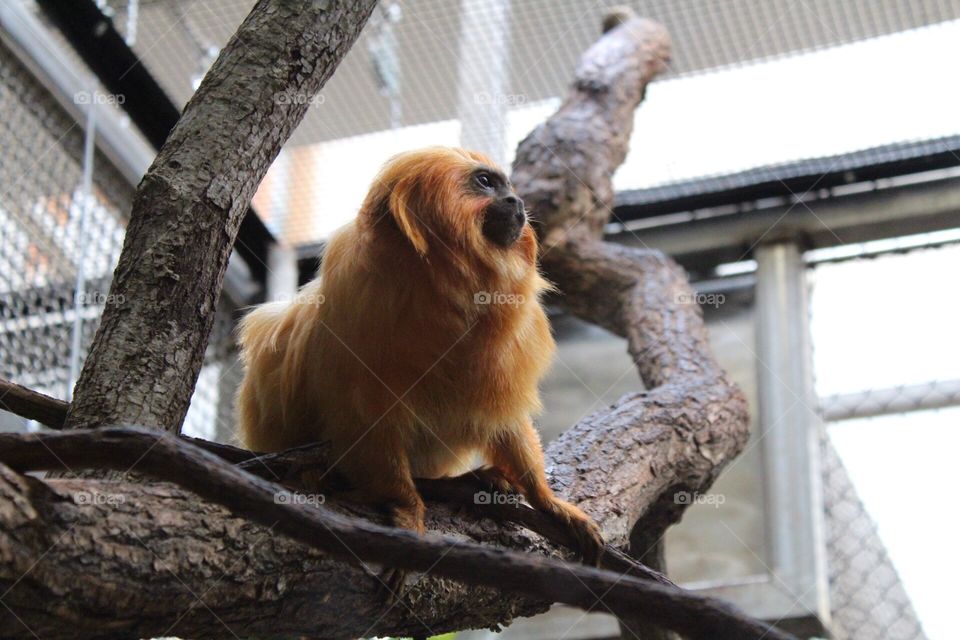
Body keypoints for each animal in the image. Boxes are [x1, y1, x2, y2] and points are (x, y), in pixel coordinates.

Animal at [236, 146, 604, 569]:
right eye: (486, 182)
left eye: (508, 187)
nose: (517, 202)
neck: (447, 289)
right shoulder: (353, 307)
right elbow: (365, 420)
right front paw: (406, 505)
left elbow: (505, 420)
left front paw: (546, 501)